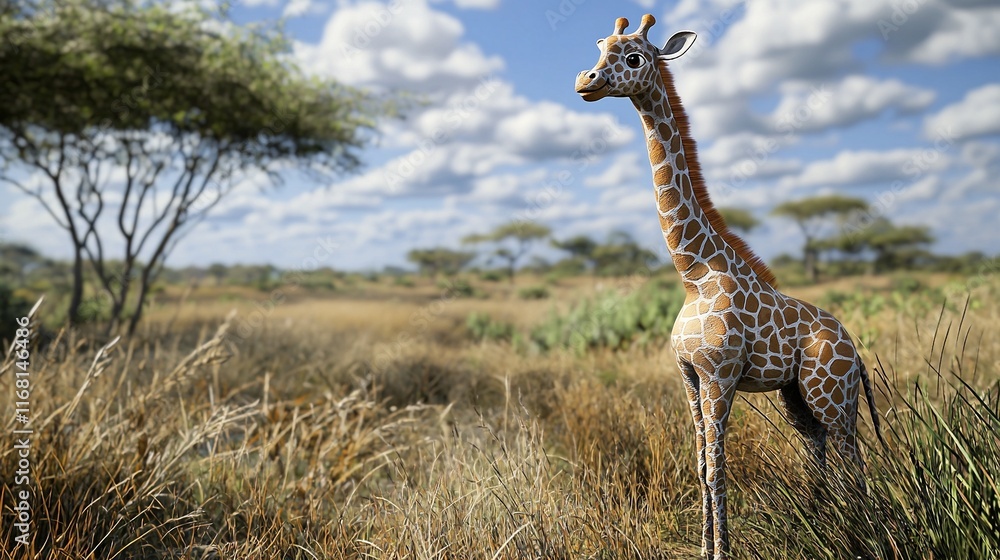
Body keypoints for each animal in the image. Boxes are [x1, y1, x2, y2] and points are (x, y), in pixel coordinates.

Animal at [574, 14, 883, 560]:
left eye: (633, 58)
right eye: (600, 45)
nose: (585, 81)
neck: (695, 272)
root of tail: (856, 348)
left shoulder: (720, 375)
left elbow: (719, 468)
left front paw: (722, 552)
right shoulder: (688, 376)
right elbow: (700, 466)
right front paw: (703, 548)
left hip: (831, 391)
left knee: (852, 455)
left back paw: (857, 533)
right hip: (797, 395)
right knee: (818, 448)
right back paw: (823, 522)